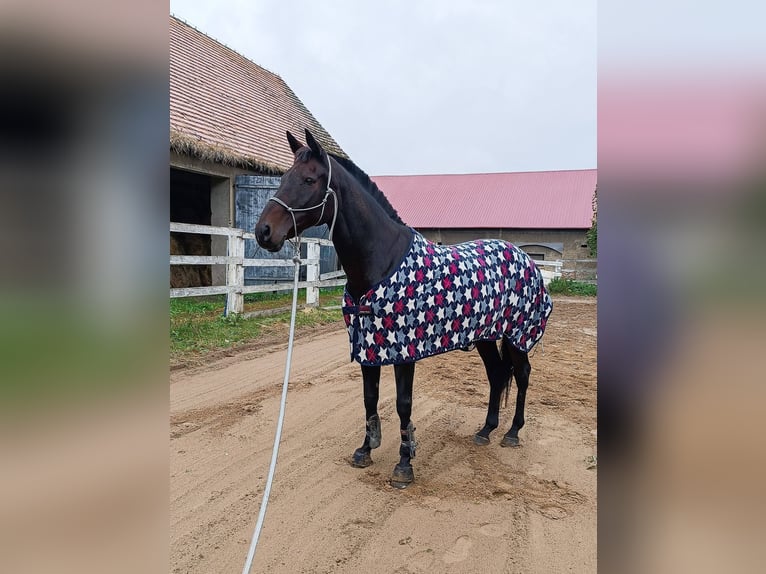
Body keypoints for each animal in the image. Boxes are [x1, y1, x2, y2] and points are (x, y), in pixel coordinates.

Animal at [255, 129, 553, 489]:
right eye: (283, 177)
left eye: (309, 179)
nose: (263, 232)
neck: (382, 262)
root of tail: (525, 257)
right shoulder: (369, 347)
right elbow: (370, 398)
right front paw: (365, 450)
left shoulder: (404, 352)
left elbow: (403, 404)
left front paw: (404, 464)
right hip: (484, 336)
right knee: (497, 375)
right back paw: (485, 431)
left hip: (517, 334)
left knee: (521, 375)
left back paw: (512, 433)